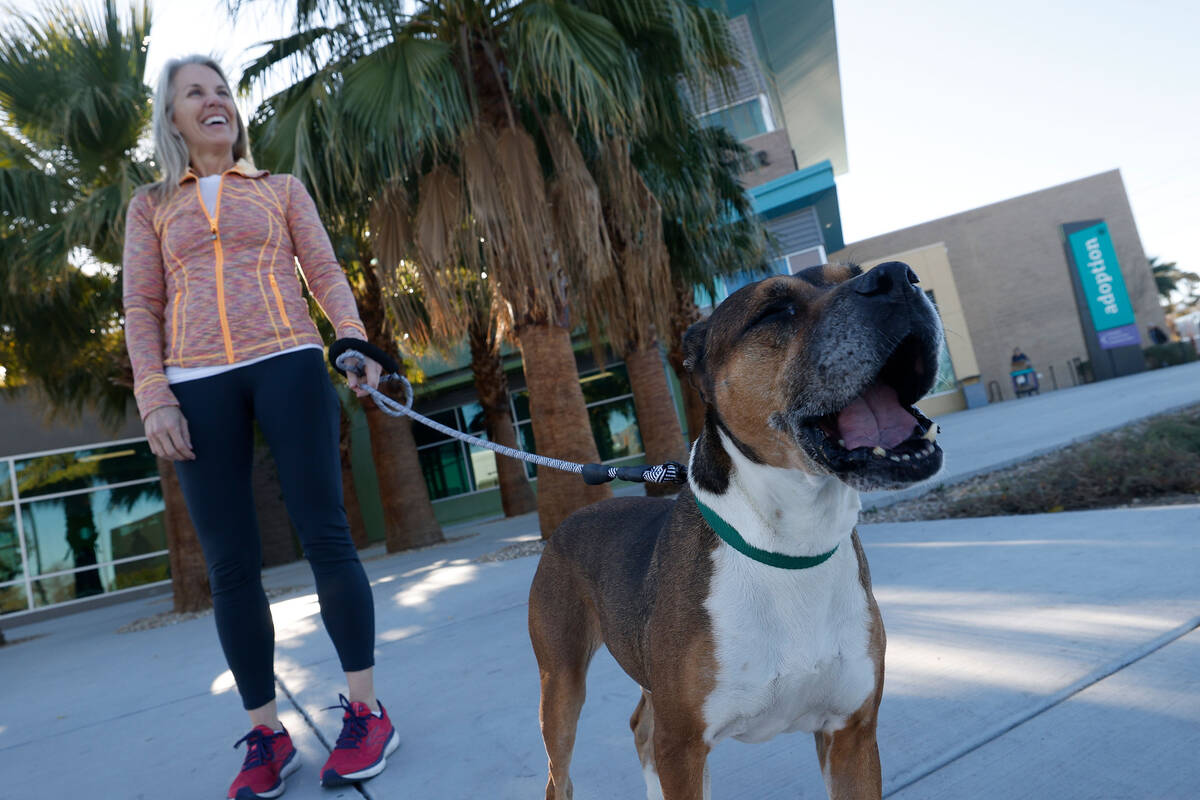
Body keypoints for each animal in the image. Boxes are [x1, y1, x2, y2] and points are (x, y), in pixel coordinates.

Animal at [530, 263, 940, 800]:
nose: (897, 276)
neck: (790, 545)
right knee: (562, 774)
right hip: (560, 687)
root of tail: (569, 520)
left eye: (855, 271)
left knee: (640, 727)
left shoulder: (851, 734)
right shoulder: (683, 746)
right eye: (773, 311)